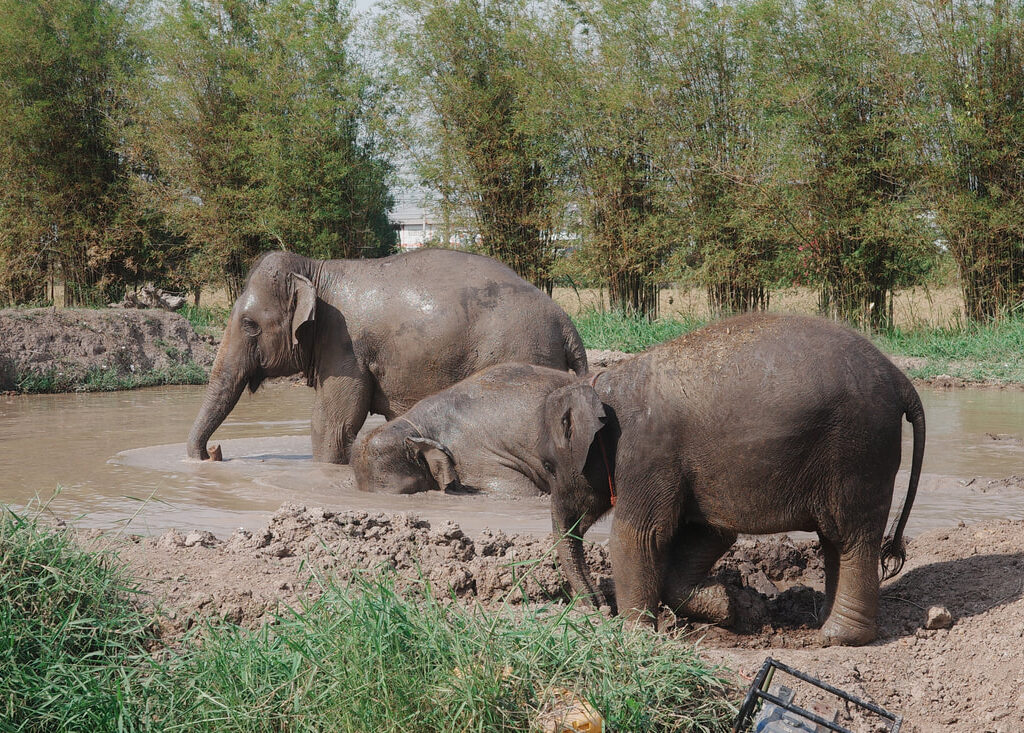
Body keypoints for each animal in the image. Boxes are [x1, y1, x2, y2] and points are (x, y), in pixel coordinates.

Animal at [186, 249, 588, 464]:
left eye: (250, 325)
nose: (214, 453)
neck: (316, 269)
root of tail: (566, 322)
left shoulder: (346, 349)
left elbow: (332, 425)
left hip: (524, 350)